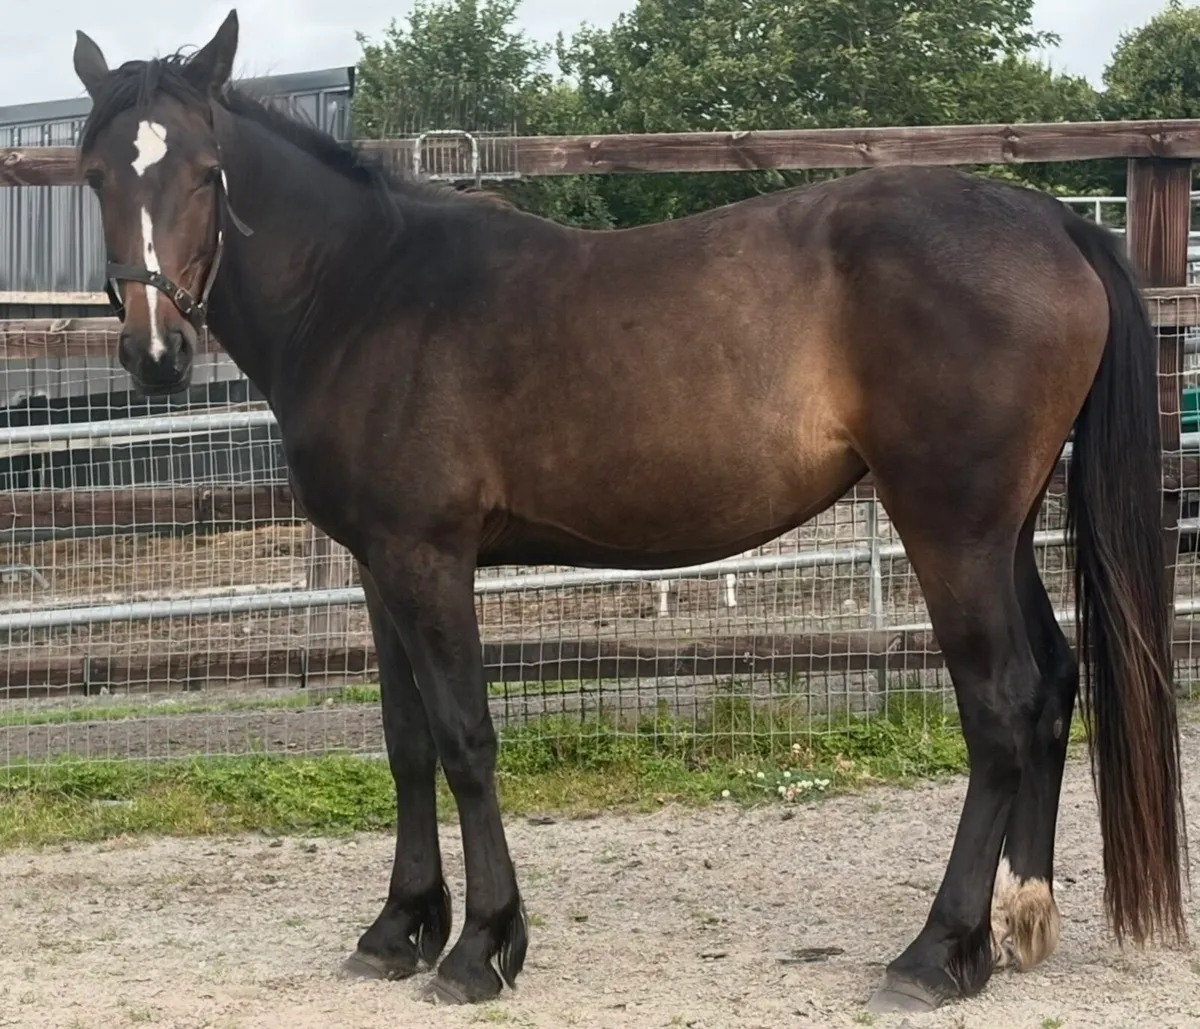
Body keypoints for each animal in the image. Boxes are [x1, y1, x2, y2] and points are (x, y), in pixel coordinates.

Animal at [70, 10, 1187, 1013]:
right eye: (96, 175)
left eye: (206, 171)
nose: (155, 353)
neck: (366, 294)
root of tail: (1053, 220)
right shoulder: (379, 567)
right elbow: (406, 740)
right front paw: (398, 928)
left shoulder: (430, 560)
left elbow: (466, 738)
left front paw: (481, 947)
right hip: (1003, 530)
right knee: (1051, 684)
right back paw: (1019, 921)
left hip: (950, 529)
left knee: (1001, 707)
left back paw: (936, 952)